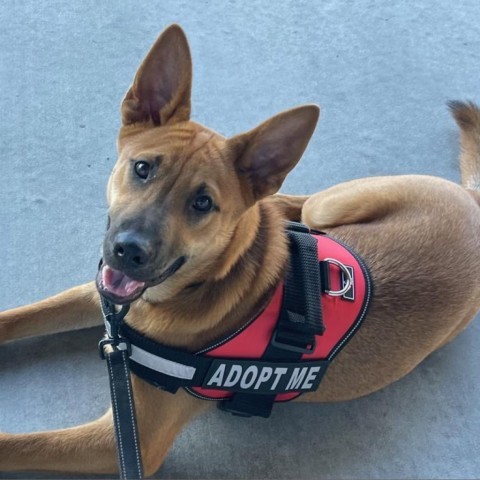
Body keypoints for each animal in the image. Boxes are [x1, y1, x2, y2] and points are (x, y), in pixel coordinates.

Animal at [0, 24, 480, 478]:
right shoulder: (101, 292)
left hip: (335, 204)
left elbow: (17, 444)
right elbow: (19, 317)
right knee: (287, 205)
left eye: (202, 203)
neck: (202, 284)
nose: (127, 251)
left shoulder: (129, 441)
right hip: (328, 205)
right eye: (142, 168)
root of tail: (472, 202)